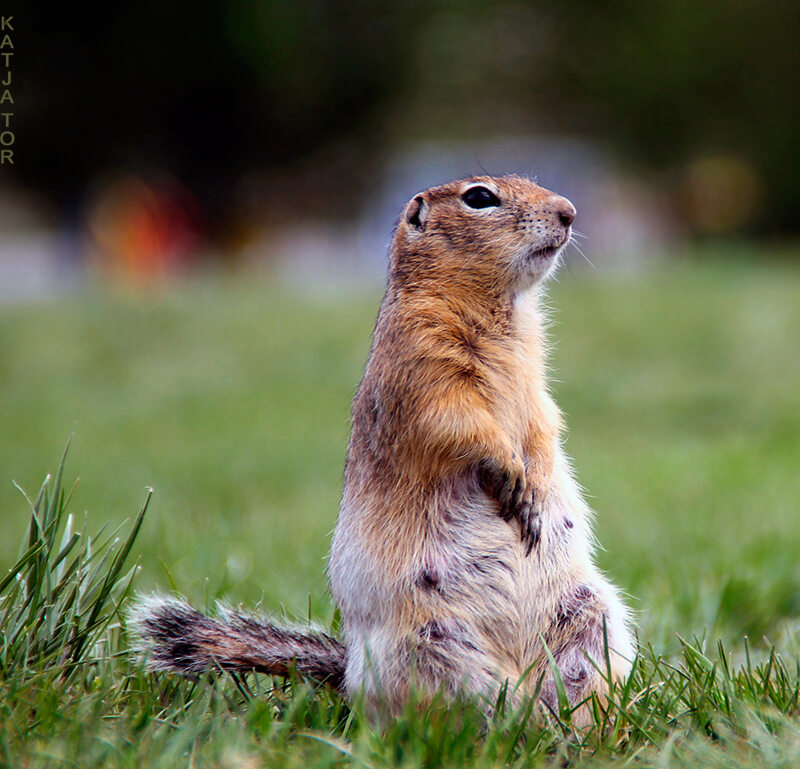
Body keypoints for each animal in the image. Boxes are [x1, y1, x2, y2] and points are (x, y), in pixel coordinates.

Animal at [130, 176, 632, 728]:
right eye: (479, 197)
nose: (569, 212)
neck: (502, 310)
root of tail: (349, 675)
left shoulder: (536, 387)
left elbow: (545, 426)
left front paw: (536, 486)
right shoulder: (422, 368)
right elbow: (461, 424)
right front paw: (511, 473)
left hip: (591, 620)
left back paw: (580, 727)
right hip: (431, 646)